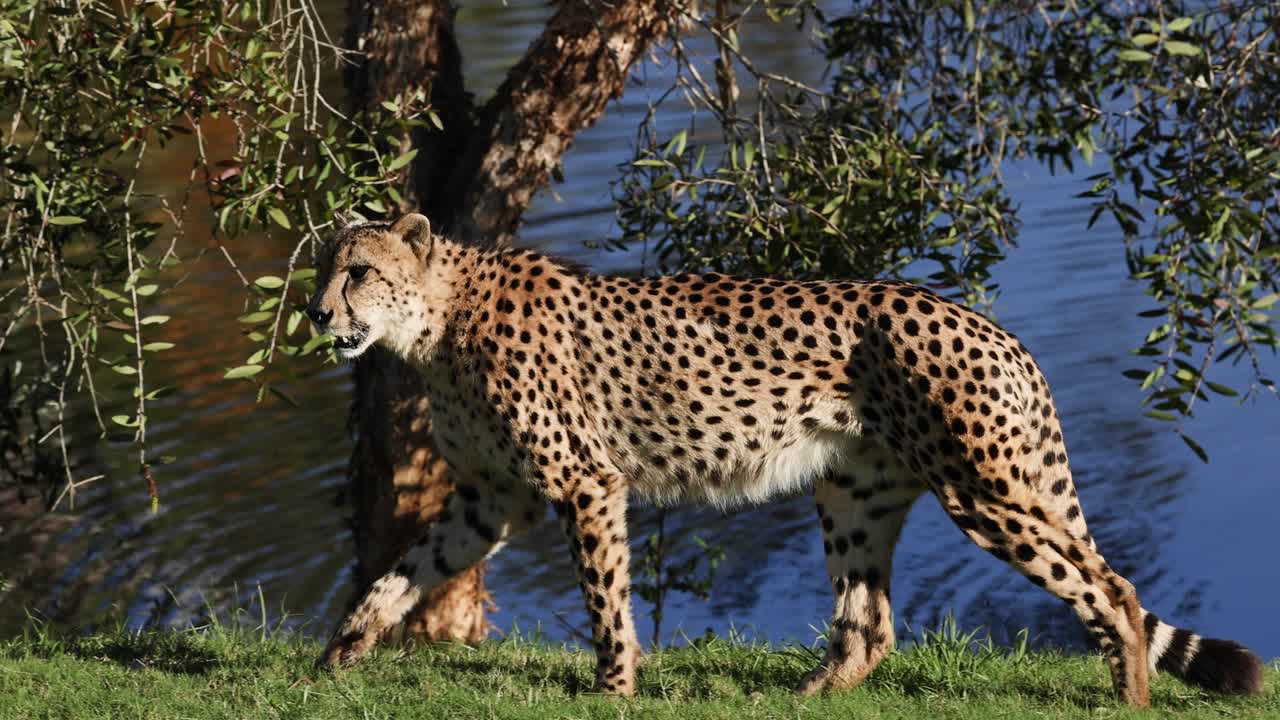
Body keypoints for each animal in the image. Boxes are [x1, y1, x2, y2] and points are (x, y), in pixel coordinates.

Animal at [306, 213, 1263, 707]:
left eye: (358, 272)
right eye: (321, 269)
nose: (317, 315)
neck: (438, 320)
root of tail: (993, 327)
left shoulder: (584, 482)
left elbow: (605, 599)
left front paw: (614, 687)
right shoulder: (490, 496)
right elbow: (404, 571)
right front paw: (339, 655)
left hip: (985, 493)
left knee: (1113, 590)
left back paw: (1131, 698)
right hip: (855, 491)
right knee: (872, 625)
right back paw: (810, 696)